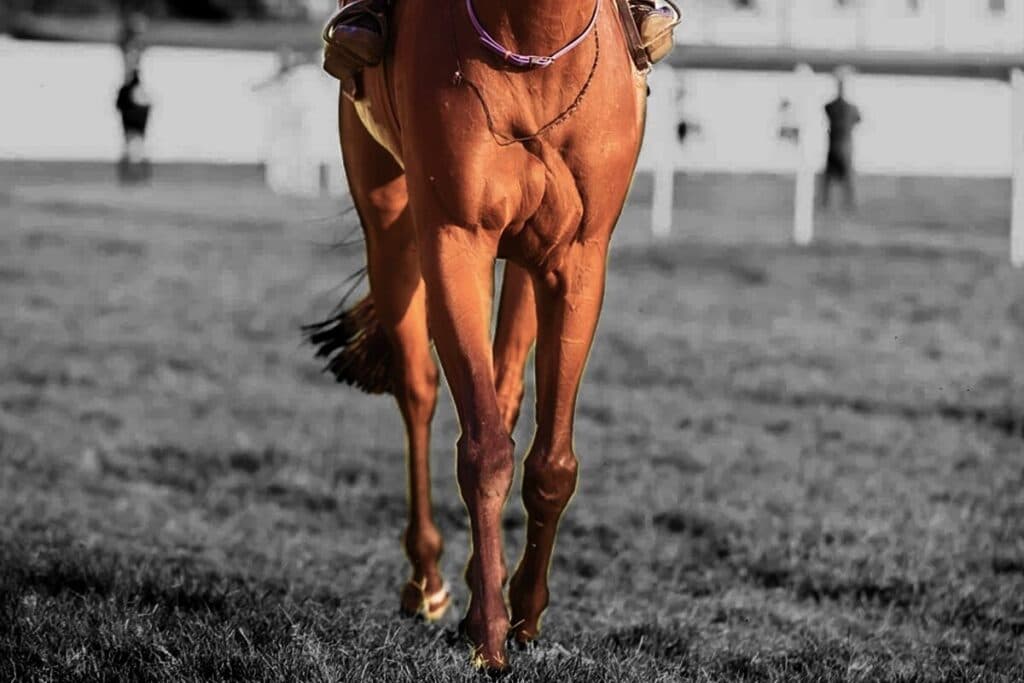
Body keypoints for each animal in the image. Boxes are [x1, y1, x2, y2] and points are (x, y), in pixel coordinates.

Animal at [309, 0, 648, 670]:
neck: (535, 42)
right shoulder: (454, 242)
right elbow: (486, 450)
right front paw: (489, 637)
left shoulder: (577, 259)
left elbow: (552, 462)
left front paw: (526, 618)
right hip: (390, 227)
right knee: (418, 391)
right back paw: (430, 580)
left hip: (524, 262)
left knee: (506, 388)